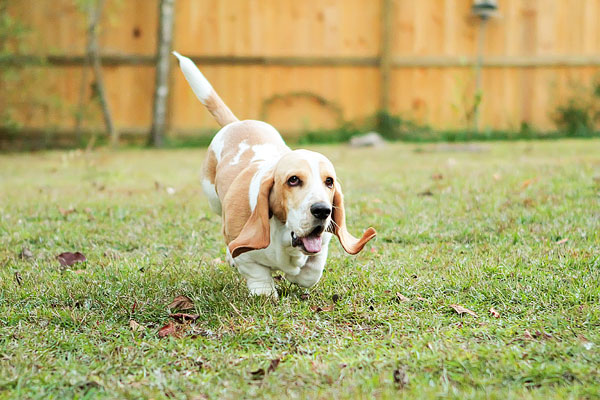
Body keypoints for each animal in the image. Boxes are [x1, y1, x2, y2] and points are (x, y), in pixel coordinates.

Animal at [171, 51, 376, 296]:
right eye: (293, 180)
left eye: (329, 182)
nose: (322, 210)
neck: (284, 233)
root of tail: (237, 123)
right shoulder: (245, 253)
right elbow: (255, 271)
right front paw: (265, 292)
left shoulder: (322, 244)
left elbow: (311, 272)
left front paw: (296, 274)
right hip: (213, 199)